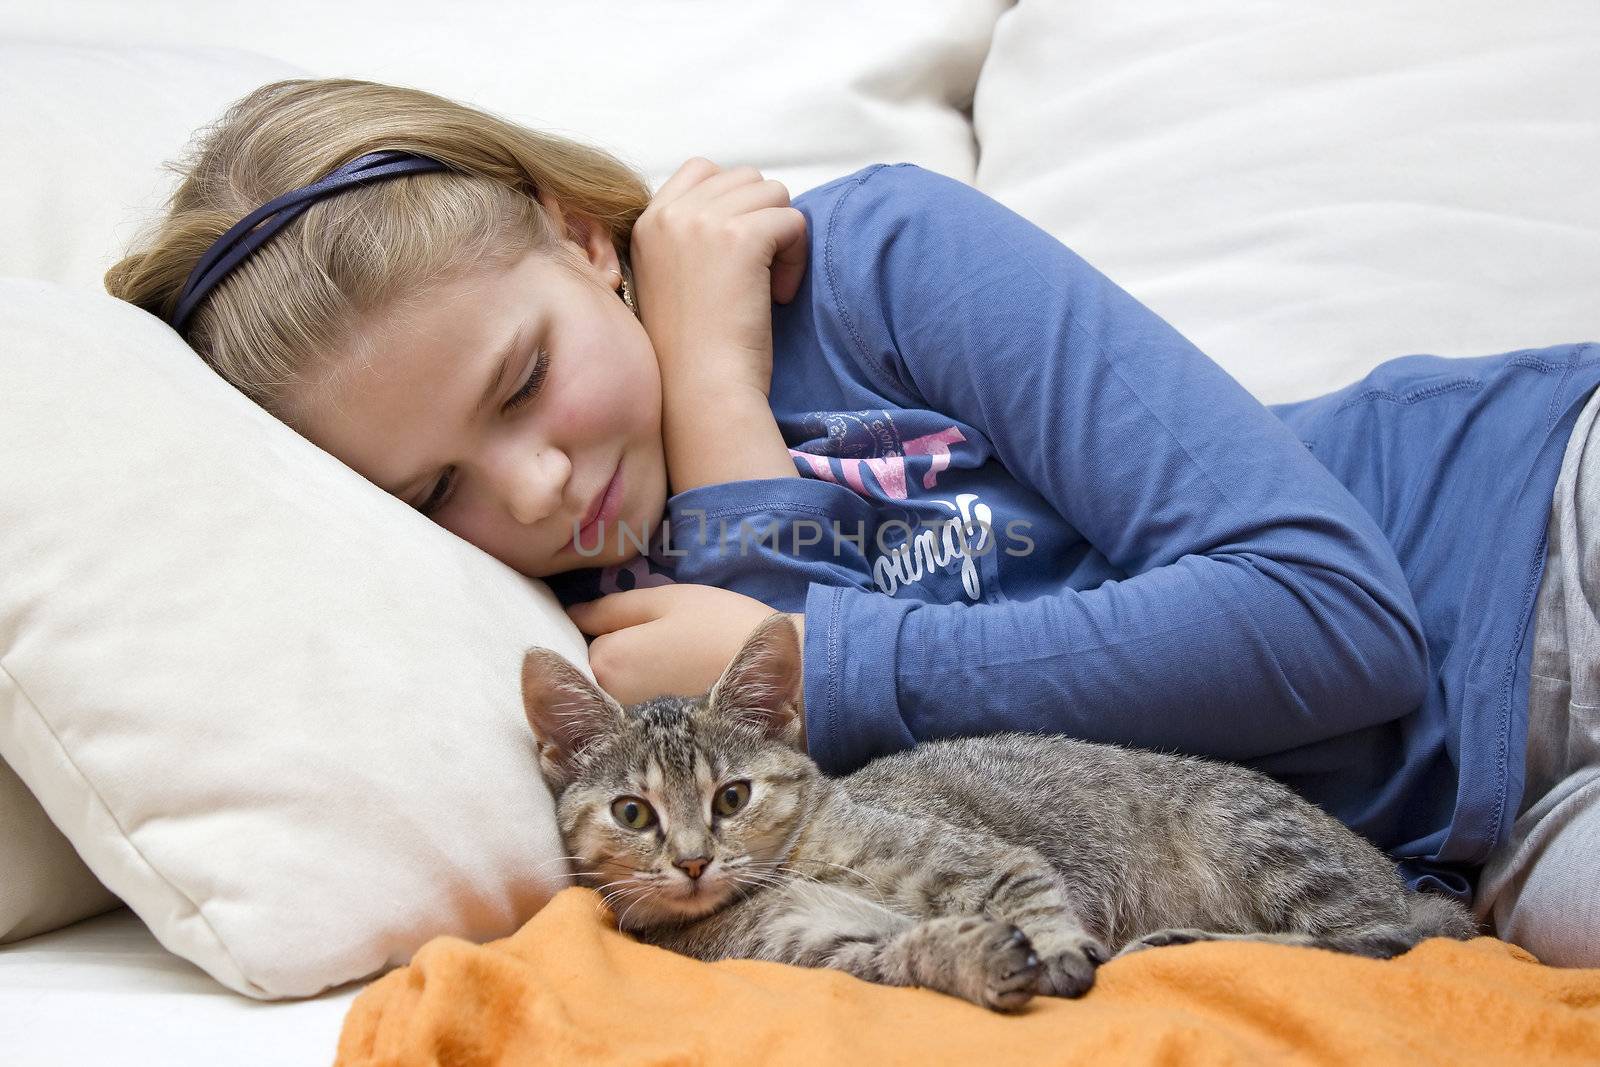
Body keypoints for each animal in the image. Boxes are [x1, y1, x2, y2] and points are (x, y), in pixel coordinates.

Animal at [521, 617, 1472, 1011]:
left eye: (731, 797)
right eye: (634, 812)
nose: (691, 860)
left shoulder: (983, 856)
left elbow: (1028, 892)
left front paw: (1051, 947)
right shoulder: (810, 946)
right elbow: (899, 953)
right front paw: (974, 961)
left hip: (1257, 837)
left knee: (1379, 939)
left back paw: (1180, 940)